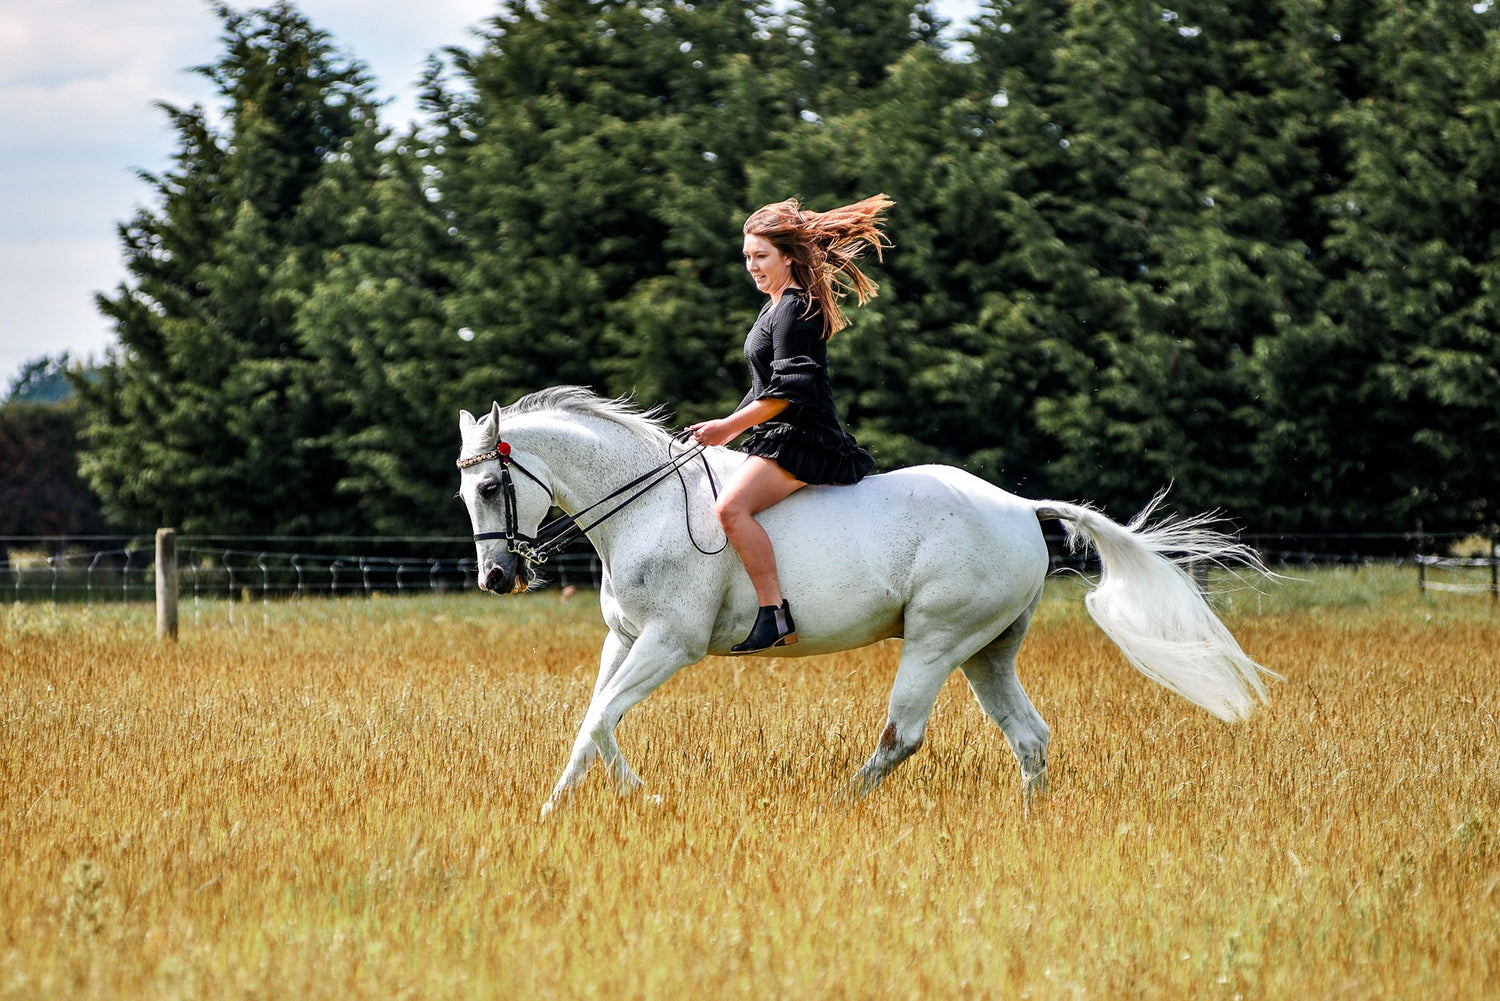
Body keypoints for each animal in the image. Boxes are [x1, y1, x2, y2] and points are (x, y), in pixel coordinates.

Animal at [456, 386, 1277, 814]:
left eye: (492, 485)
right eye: (467, 491)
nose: (498, 579)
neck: (647, 506)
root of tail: (1020, 507)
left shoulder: (669, 643)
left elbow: (600, 718)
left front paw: (641, 802)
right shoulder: (625, 639)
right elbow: (592, 721)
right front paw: (557, 811)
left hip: (938, 641)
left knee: (902, 734)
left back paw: (838, 805)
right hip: (987, 652)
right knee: (1030, 735)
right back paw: (1028, 821)